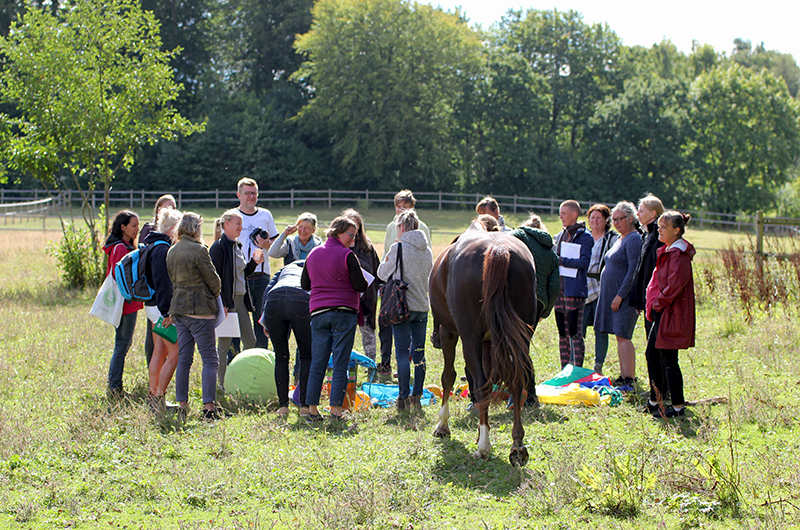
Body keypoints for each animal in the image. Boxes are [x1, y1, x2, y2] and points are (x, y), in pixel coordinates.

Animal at [432, 221, 536, 464]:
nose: (433, 340)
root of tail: (498, 248)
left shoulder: (449, 333)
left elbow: (448, 377)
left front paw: (443, 425)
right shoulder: (490, 343)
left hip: (469, 339)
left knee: (480, 383)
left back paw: (484, 446)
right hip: (520, 338)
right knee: (517, 381)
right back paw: (517, 445)